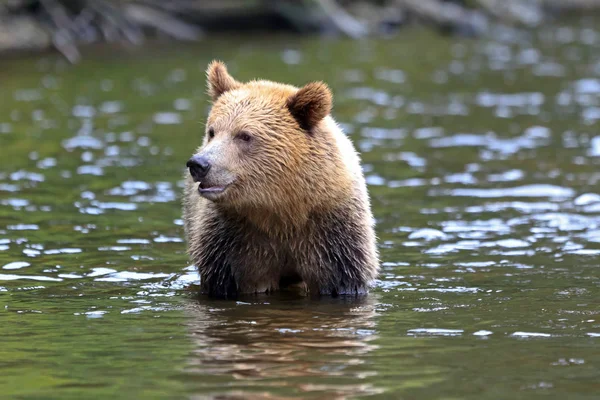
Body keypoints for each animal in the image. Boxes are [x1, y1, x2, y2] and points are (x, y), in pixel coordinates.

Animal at [183, 60, 380, 296]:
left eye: (244, 135)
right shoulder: (233, 240)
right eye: (212, 131)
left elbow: (340, 279)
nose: (199, 164)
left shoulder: (332, 234)